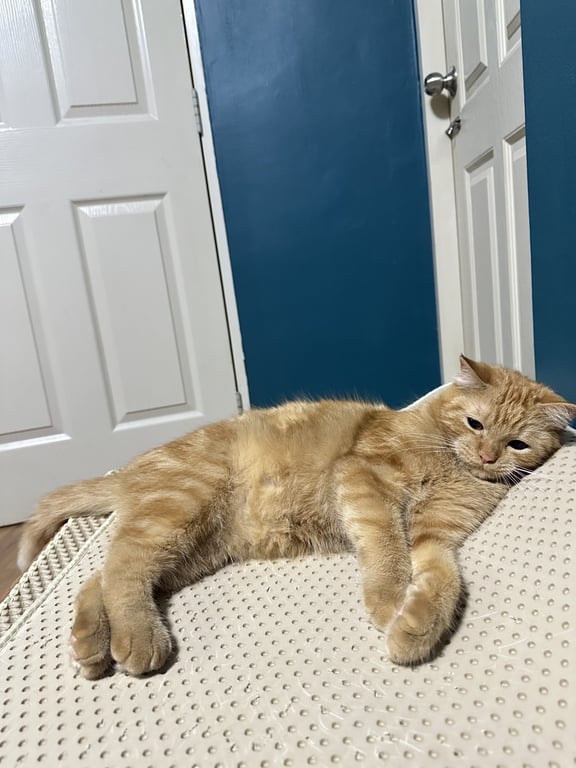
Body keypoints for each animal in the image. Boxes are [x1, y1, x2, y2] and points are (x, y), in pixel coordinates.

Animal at [17, 356, 576, 679]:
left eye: (516, 443)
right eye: (475, 423)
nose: (486, 456)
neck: (448, 461)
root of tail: (131, 468)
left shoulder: (437, 537)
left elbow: (444, 580)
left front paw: (416, 626)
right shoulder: (365, 480)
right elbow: (385, 547)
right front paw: (390, 599)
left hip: (193, 549)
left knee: (101, 576)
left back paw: (91, 644)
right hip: (179, 510)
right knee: (124, 567)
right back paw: (136, 639)